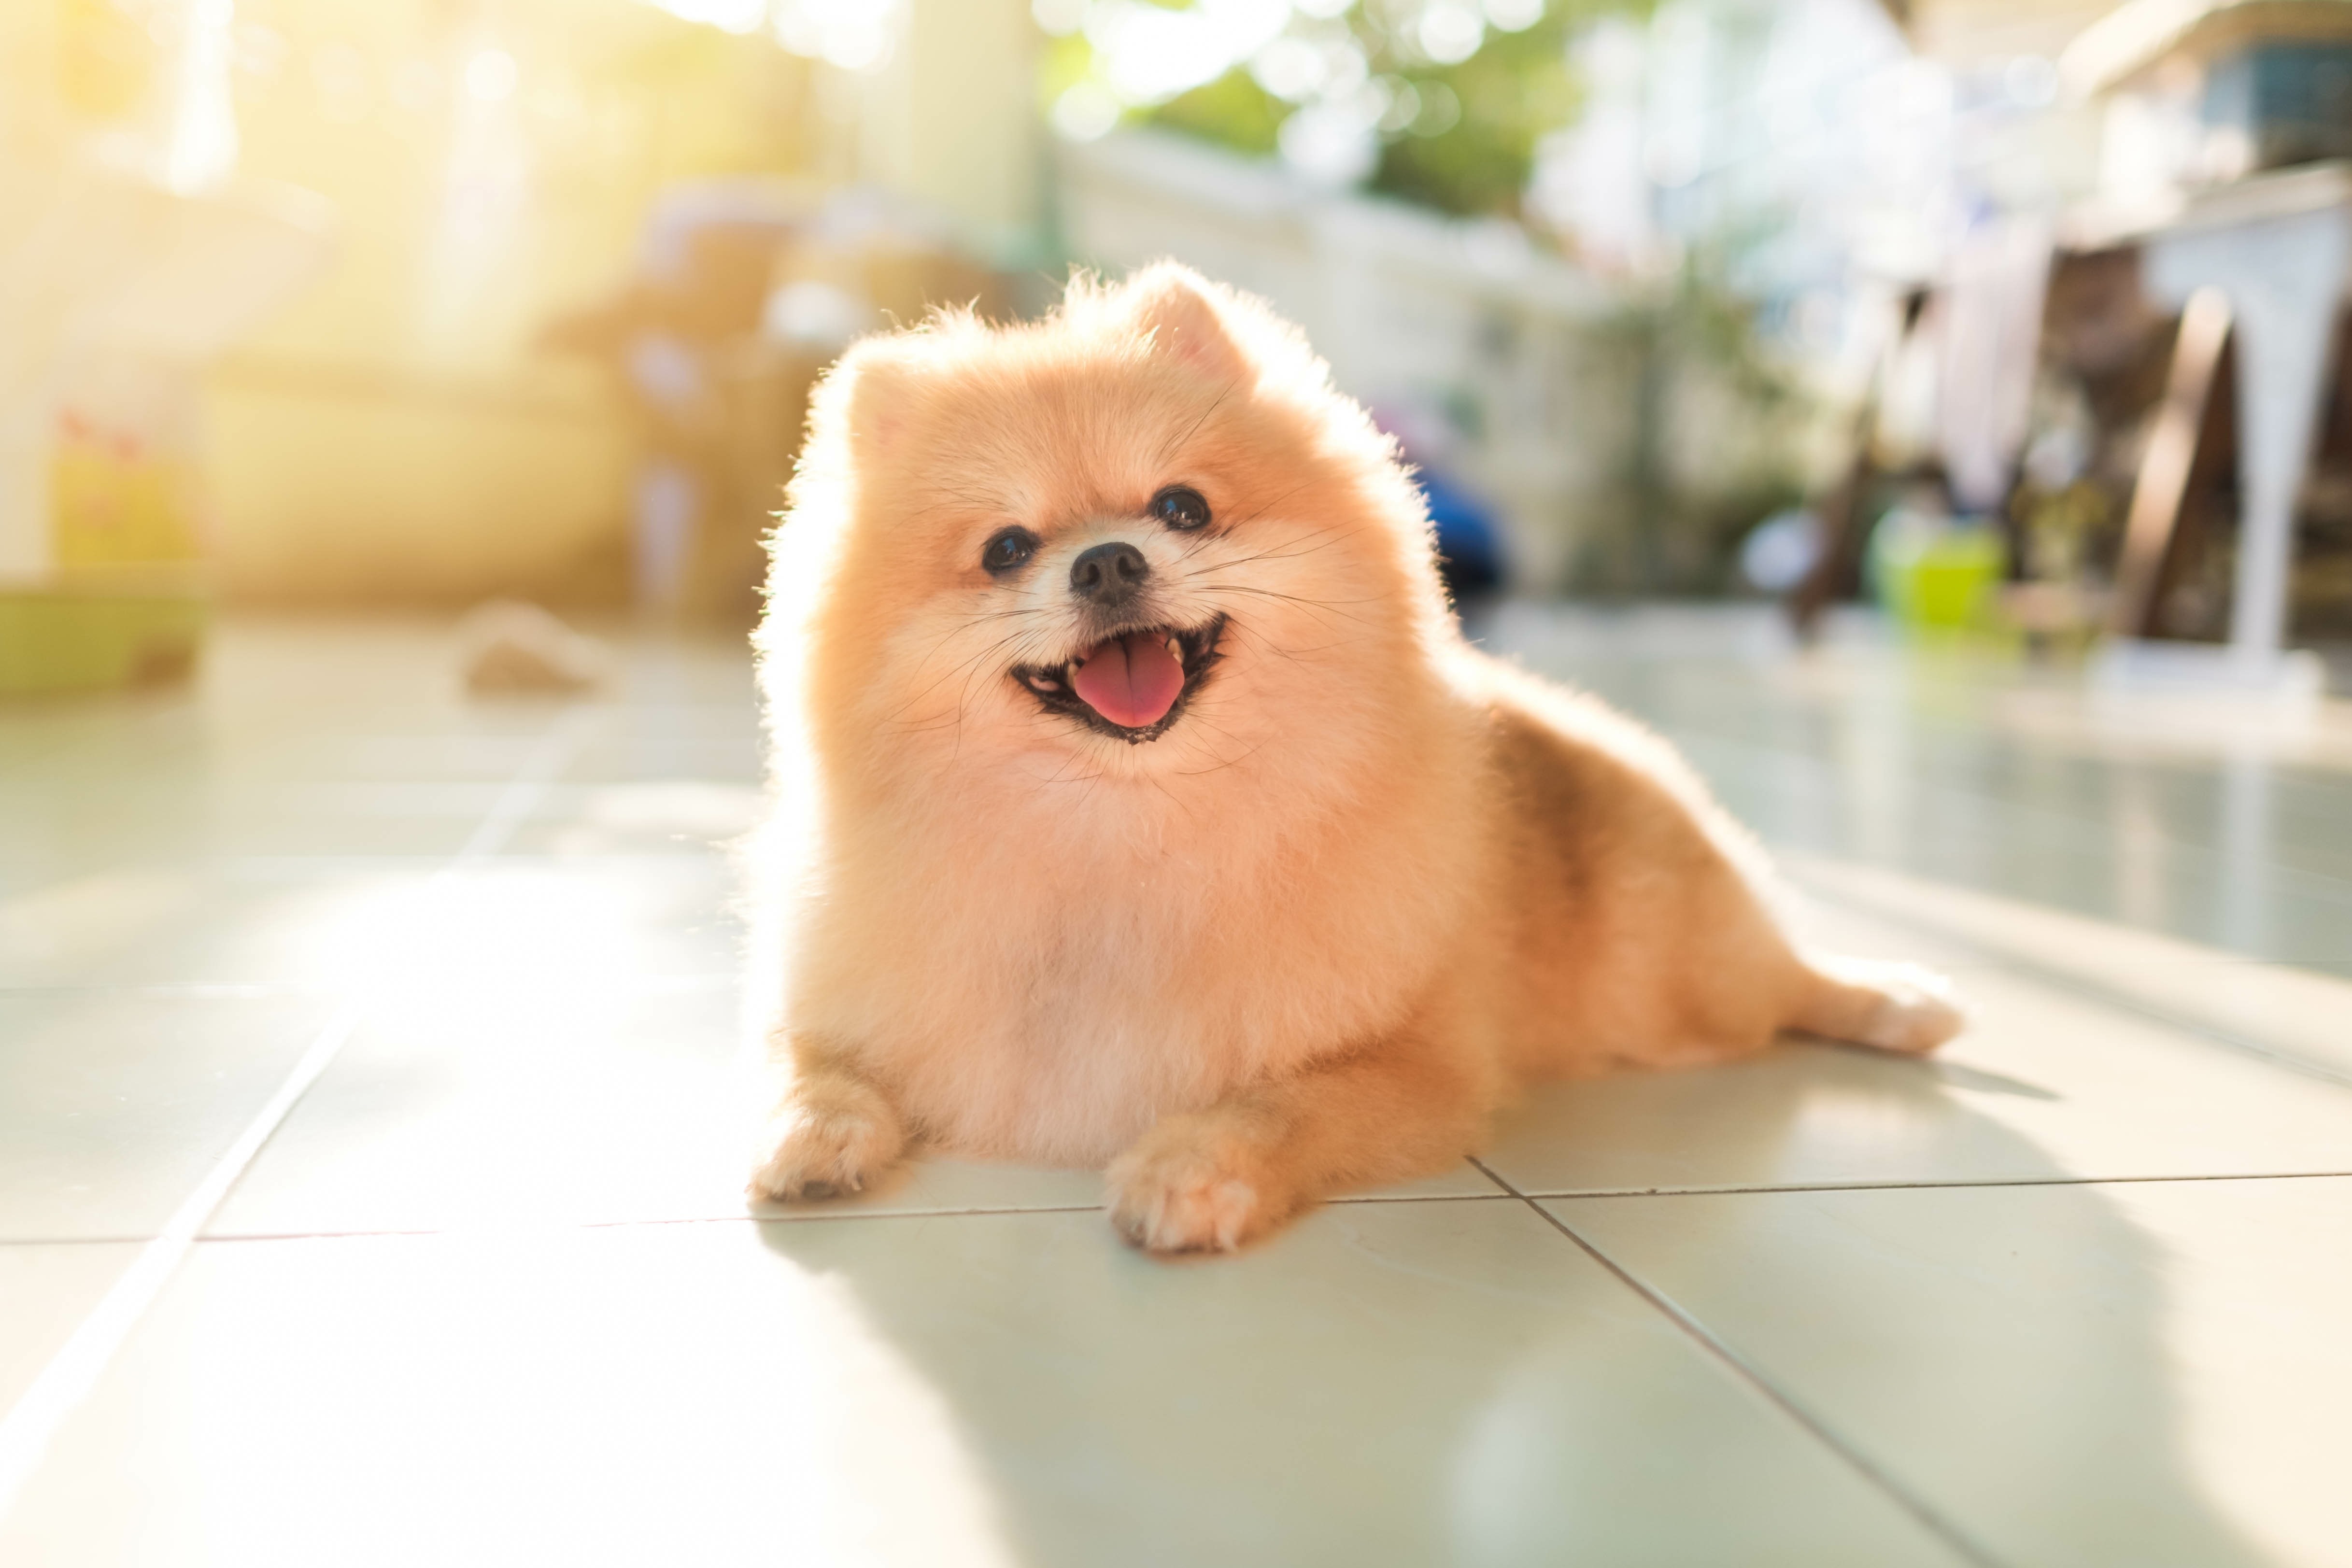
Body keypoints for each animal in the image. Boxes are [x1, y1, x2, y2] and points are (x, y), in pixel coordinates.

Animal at [743, 263, 1956, 1260]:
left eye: (1181, 505)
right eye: (1004, 549)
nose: (1107, 560)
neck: (1121, 830)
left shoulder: (1413, 1060)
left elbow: (1282, 1104)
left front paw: (1191, 1168)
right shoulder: (855, 991)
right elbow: (808, 1060)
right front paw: (804, 1132)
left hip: (1678, 975)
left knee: (1787, 980)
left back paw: (1892, 1003)